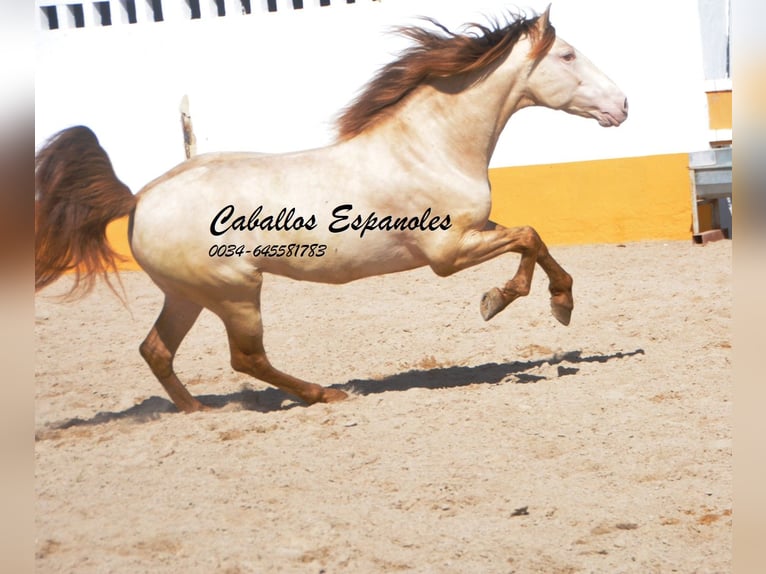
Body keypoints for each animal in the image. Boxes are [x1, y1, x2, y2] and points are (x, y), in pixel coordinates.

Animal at [33, 7, 628, 414]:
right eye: (568, 56)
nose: (623, 105)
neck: (428, 145)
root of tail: (140, 198)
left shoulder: (475, 230)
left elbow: (534, 237)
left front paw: (545, 301)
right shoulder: (449, 252)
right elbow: (529, 235)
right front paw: (515, 301)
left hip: (189, 295)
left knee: (156, 350)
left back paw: (199, 411)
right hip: (235, 292)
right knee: (245, 358)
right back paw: (325, 394)